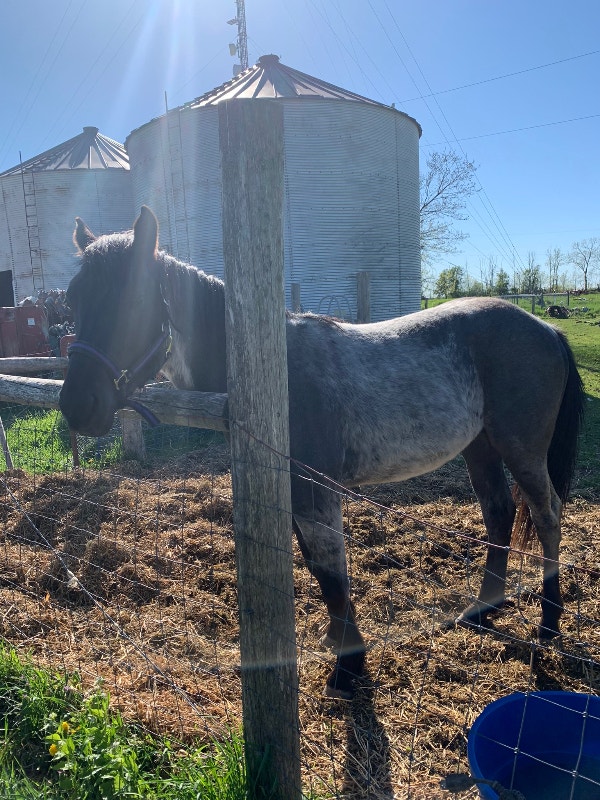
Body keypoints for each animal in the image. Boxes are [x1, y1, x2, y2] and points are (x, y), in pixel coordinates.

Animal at [59, 206, 585, 700]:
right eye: (73, 298)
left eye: (134, 301)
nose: (77, 405)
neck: (274, 376)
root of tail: (545, 329)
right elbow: (317, 566)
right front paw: (338, 641)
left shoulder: (314, 490)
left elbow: (332, 571)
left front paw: (348, 669)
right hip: (480, 448)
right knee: (498, 512)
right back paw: (481, 609)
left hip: (522, 451)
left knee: (546, 516)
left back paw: (548, 622)